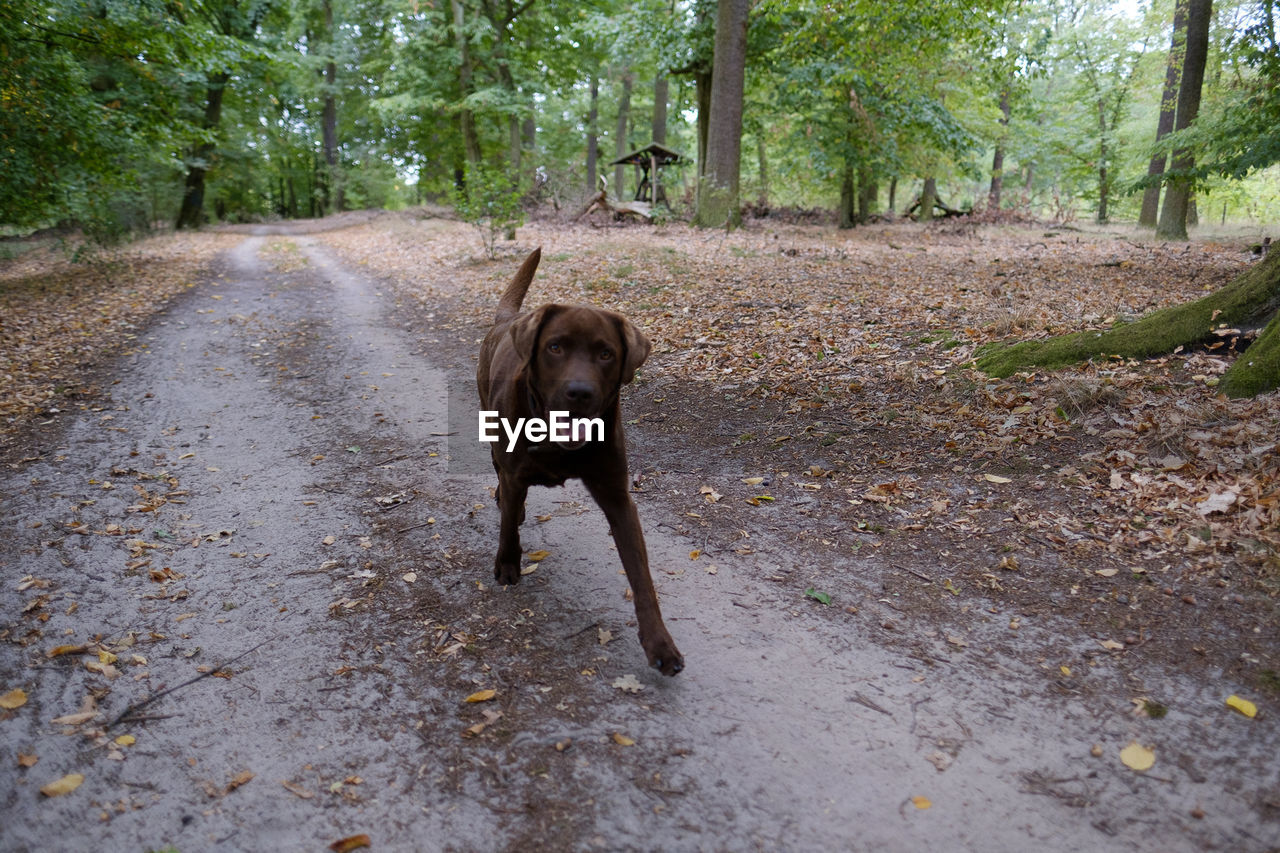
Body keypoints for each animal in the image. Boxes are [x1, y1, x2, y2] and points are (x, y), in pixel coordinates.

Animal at [476, 249, 686, 676]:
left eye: (606, 354)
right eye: (555, 347)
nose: (579, 392)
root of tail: (505, 321)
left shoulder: (618, 496)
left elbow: (641, 576)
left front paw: (660, 643)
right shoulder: (514, 470)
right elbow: (507, 525)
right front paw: (507, 564)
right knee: (500, 477)